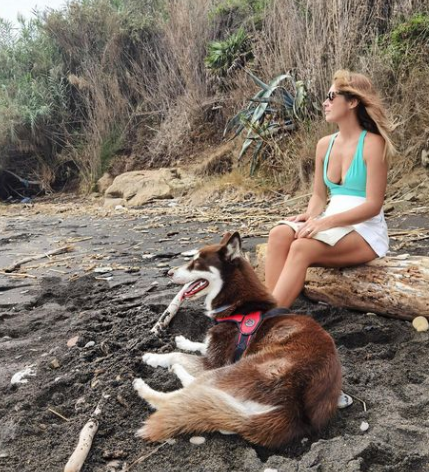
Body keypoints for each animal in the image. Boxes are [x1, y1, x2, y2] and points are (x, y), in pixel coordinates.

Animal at [134, 232, 342, 450]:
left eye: (196, 263)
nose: (169, 272)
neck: (238, 307)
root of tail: (294, 410)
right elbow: (201, 344)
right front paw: (184, 341)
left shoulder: (214, 363)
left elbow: (177, 355)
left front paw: (153, 357)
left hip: (233, 369)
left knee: (181, 397)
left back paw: (148, 385)